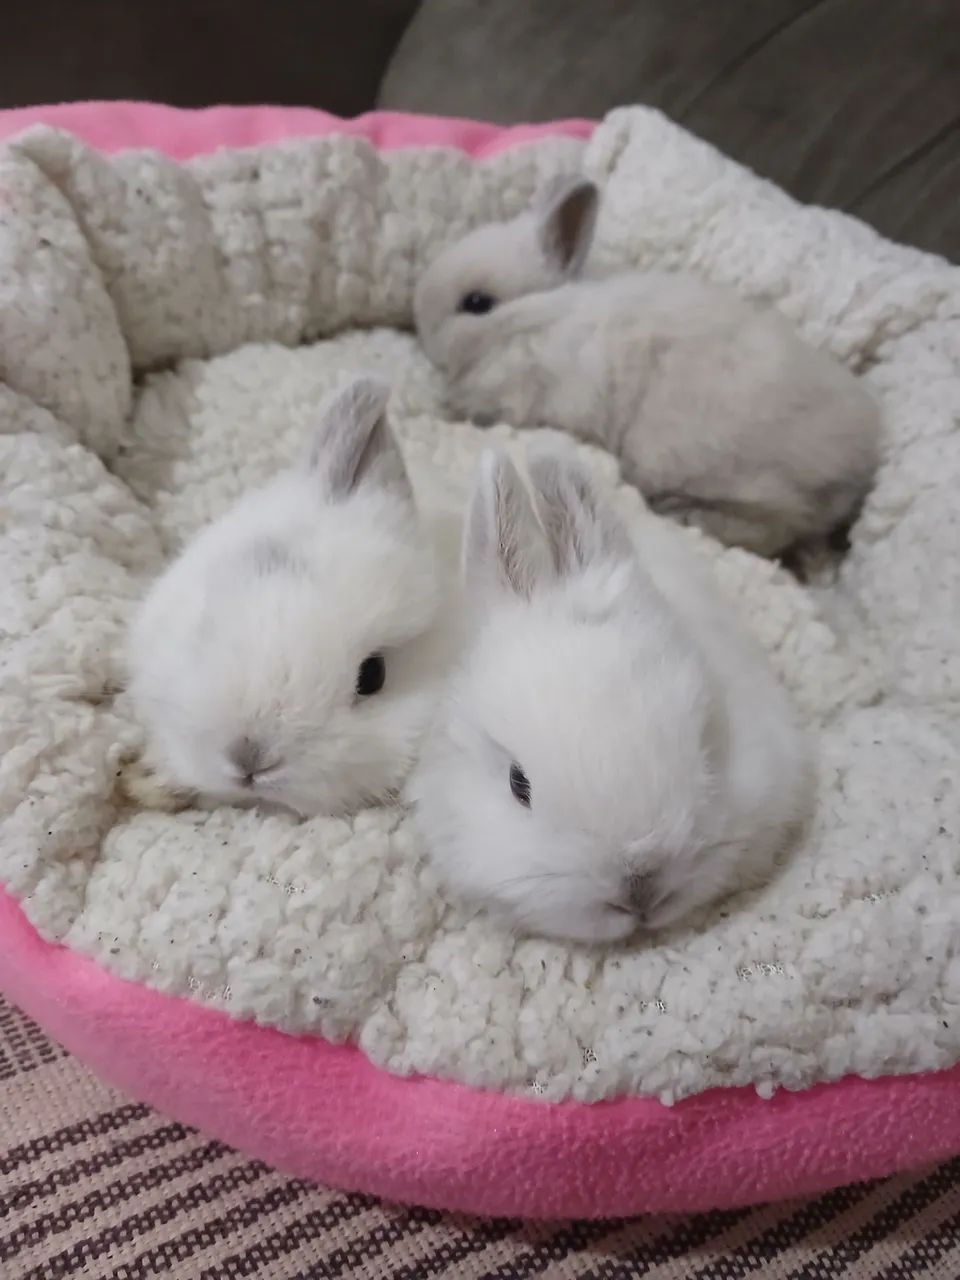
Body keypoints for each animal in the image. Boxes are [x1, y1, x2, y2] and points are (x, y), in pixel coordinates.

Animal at [414, 175, 881, 558]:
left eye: (477, 303)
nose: (420, 324)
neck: (536, 317)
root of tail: (859, 471)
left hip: (723, 472)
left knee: (772, 528)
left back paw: (682, 514)